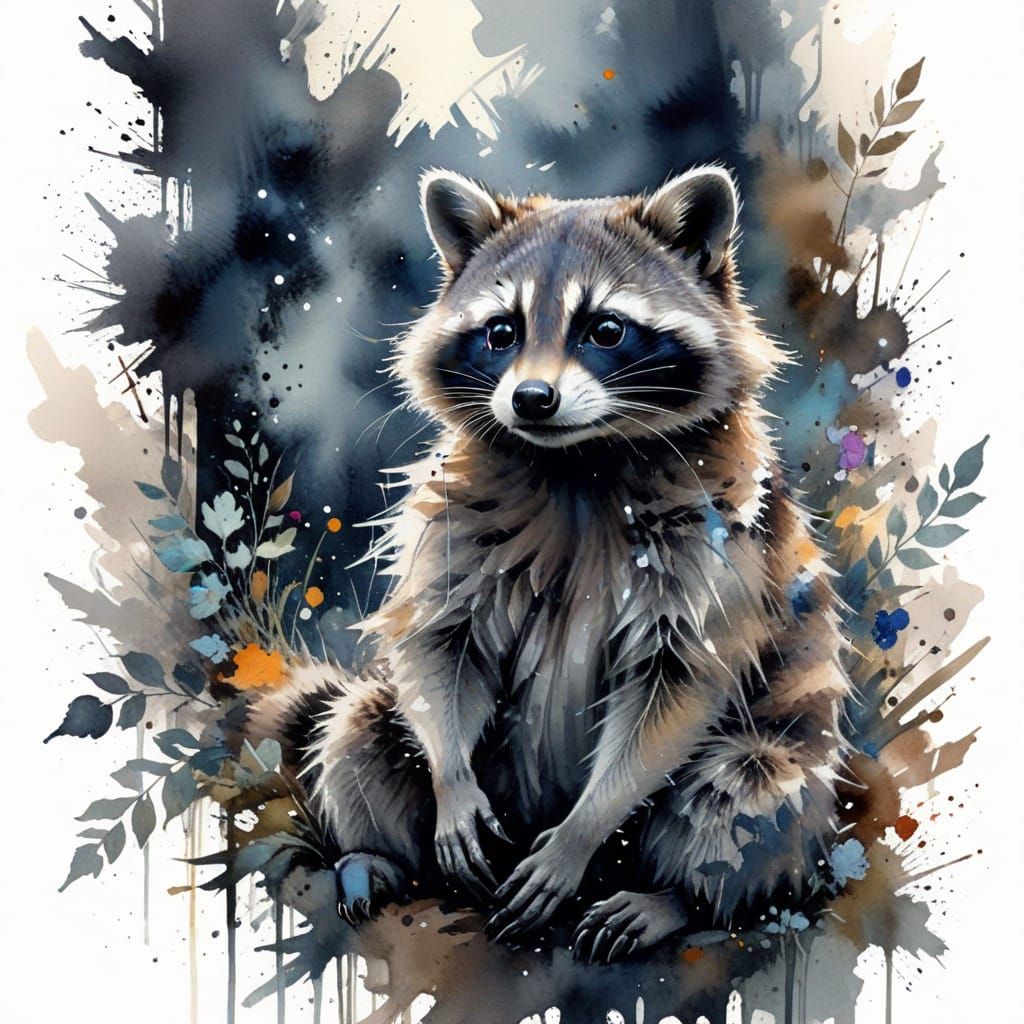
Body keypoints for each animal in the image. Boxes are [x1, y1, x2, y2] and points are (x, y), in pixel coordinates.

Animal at [263, 166, 850, 962]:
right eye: (501, 331)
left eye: (605, 328)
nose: (532, 399)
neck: (578, 459)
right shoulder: (456, 517)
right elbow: (438, 643)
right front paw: (451, 781)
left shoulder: (722, 546)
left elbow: (676, 686)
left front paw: (582, 830)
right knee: (361, 721)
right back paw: (373, 856)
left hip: (775, 778)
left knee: (748, 790)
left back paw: (680, 895)